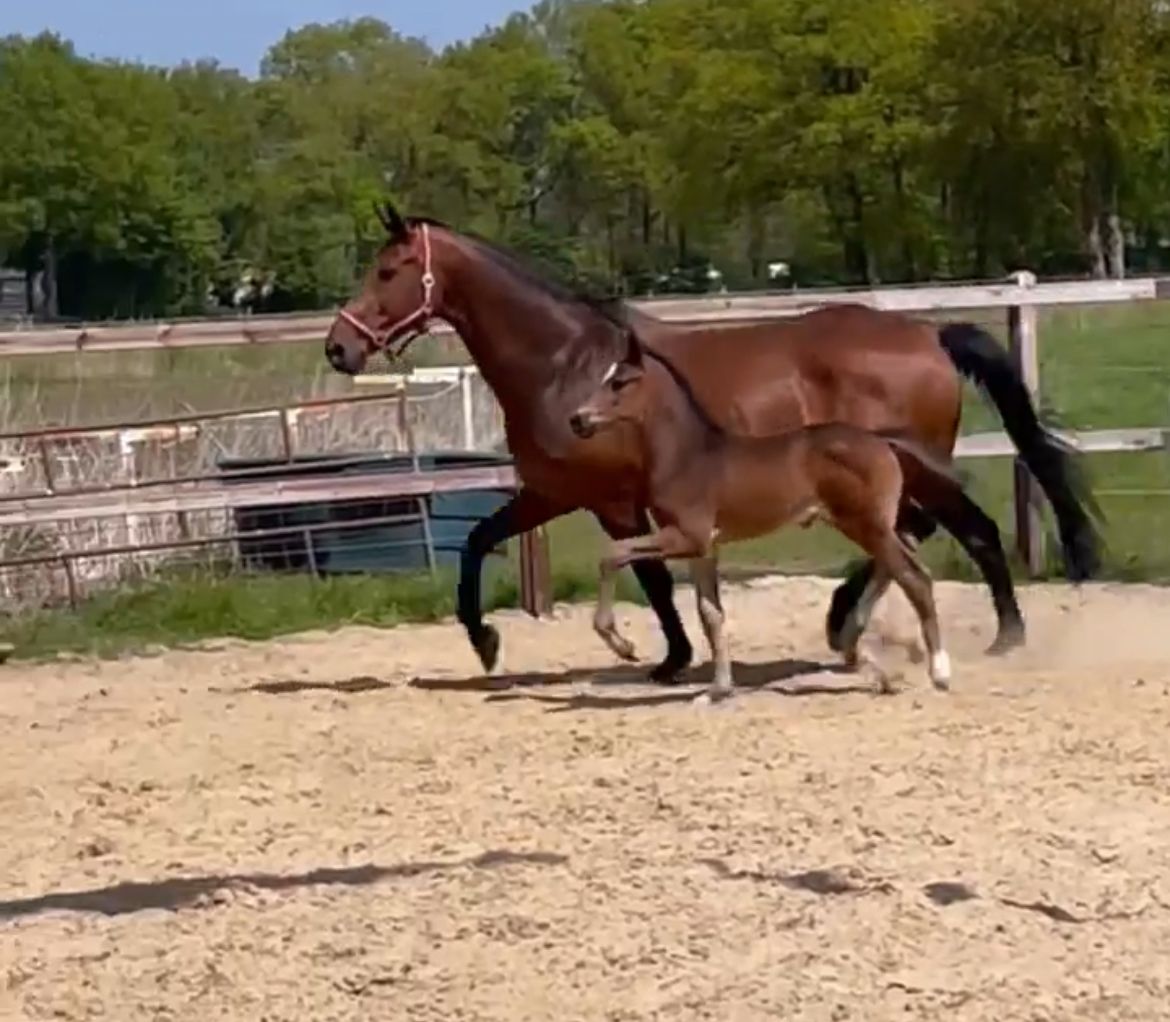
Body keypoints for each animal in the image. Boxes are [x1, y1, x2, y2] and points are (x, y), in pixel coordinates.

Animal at [569, 328, 958, 703]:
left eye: (619, 382)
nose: (577, 419)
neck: (687, 456)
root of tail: (882, 441)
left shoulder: (685, 536)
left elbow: (612, 554)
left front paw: (622, 644)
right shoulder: (703, 548)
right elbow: (711, 614)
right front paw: (718, 690)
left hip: (865, 524)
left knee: (914, 577)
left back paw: (938, 673)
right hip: (871, 525)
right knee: (897, 562)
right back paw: (871, 667)